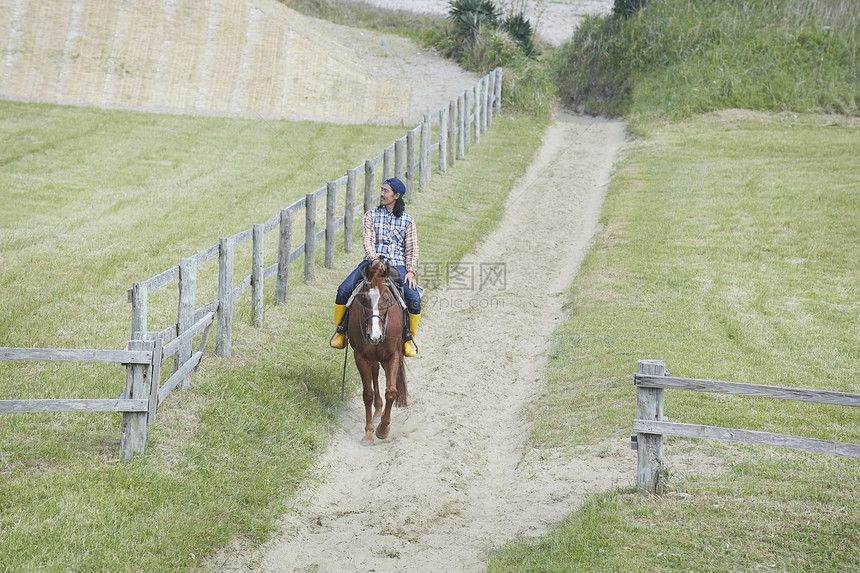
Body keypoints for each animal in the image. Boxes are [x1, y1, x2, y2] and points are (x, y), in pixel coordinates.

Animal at [346, 258, 406, 442]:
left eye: (386, 299)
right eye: (364, 298)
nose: (375, 336)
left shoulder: (393, 355)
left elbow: (391, 392)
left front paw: (383, 428)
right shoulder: (361, 357)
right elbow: (367, 394)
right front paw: (369, 431)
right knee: (375, 372)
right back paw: (378, 411)